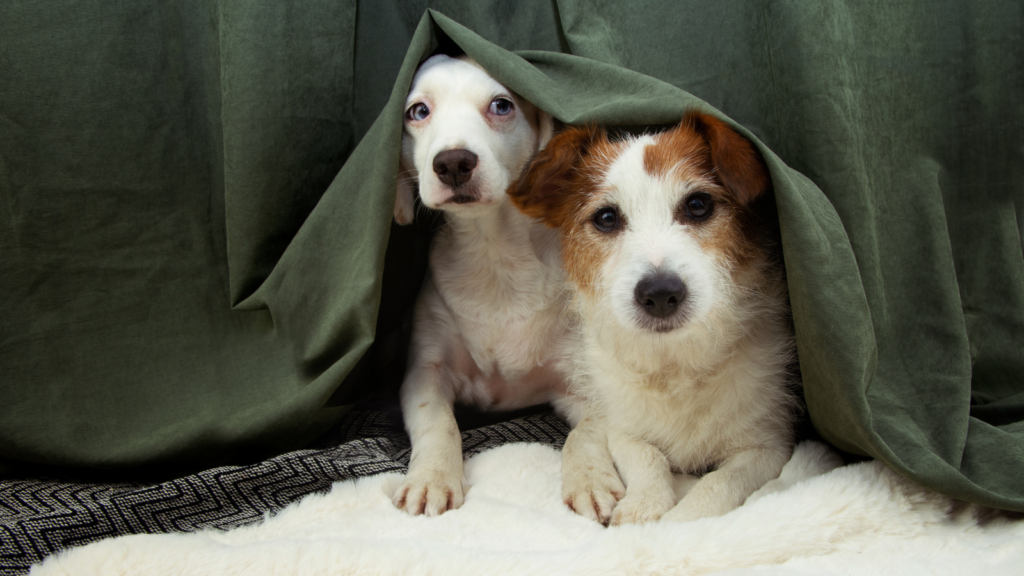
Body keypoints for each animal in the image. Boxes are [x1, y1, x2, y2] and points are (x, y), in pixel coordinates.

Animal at [389, 53, 618, 512]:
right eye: (418, 111)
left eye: (501, 105)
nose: (453, 162)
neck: (495, 258)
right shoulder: (425, 372)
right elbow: (439, 423)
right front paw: (431, 477)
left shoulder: (586, 383)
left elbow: (585, 434)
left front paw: (589, 479)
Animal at [512, 111, 798, 520]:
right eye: (606, 217)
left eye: (698, 205)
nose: (660, 294)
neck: (674, 364)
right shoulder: (624, 429)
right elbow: (647, 458)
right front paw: (644, 505)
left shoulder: (767, 447)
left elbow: (720, 482)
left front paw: (681, 519)